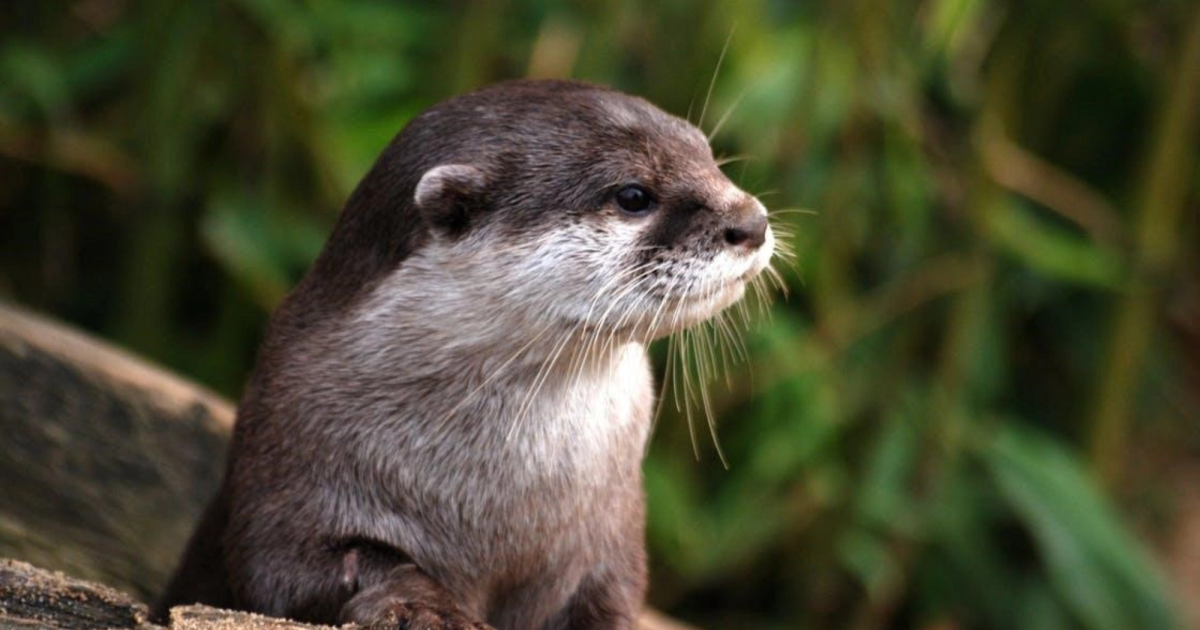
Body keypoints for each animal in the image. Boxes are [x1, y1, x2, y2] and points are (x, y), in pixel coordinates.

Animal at [156, 80, 774, 630]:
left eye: (708, 156)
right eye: (633, 195)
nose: (751, 221)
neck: (494, 504)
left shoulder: (611, 540)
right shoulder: (283, 472)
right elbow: (305, 568)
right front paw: (423, 608)